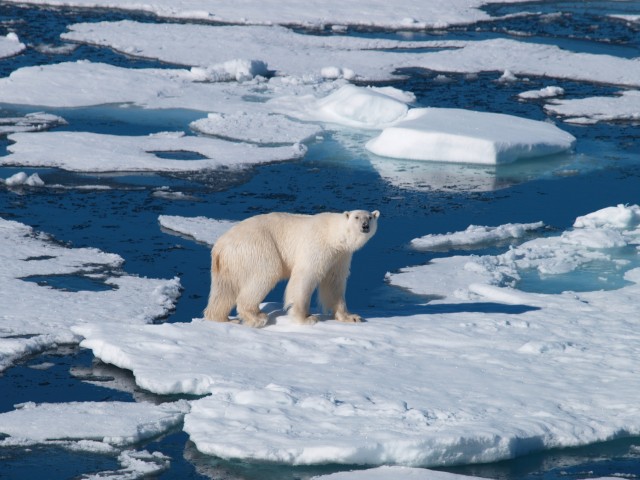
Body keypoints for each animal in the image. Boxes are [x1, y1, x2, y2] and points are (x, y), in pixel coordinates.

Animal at [204, 209, 380, 326]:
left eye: (370, 217)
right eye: (357, 217)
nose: (365, 226)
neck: (333, 234)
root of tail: (219, 246)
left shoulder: (340, 256)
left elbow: (334, 282)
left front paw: (352, 317)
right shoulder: (317, 246)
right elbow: (305, 276)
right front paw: (306, 318)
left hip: (229, 263)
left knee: (224, 289)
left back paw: (222, 318)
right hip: (258, 247)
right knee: (266, 273)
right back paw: (257, 317)